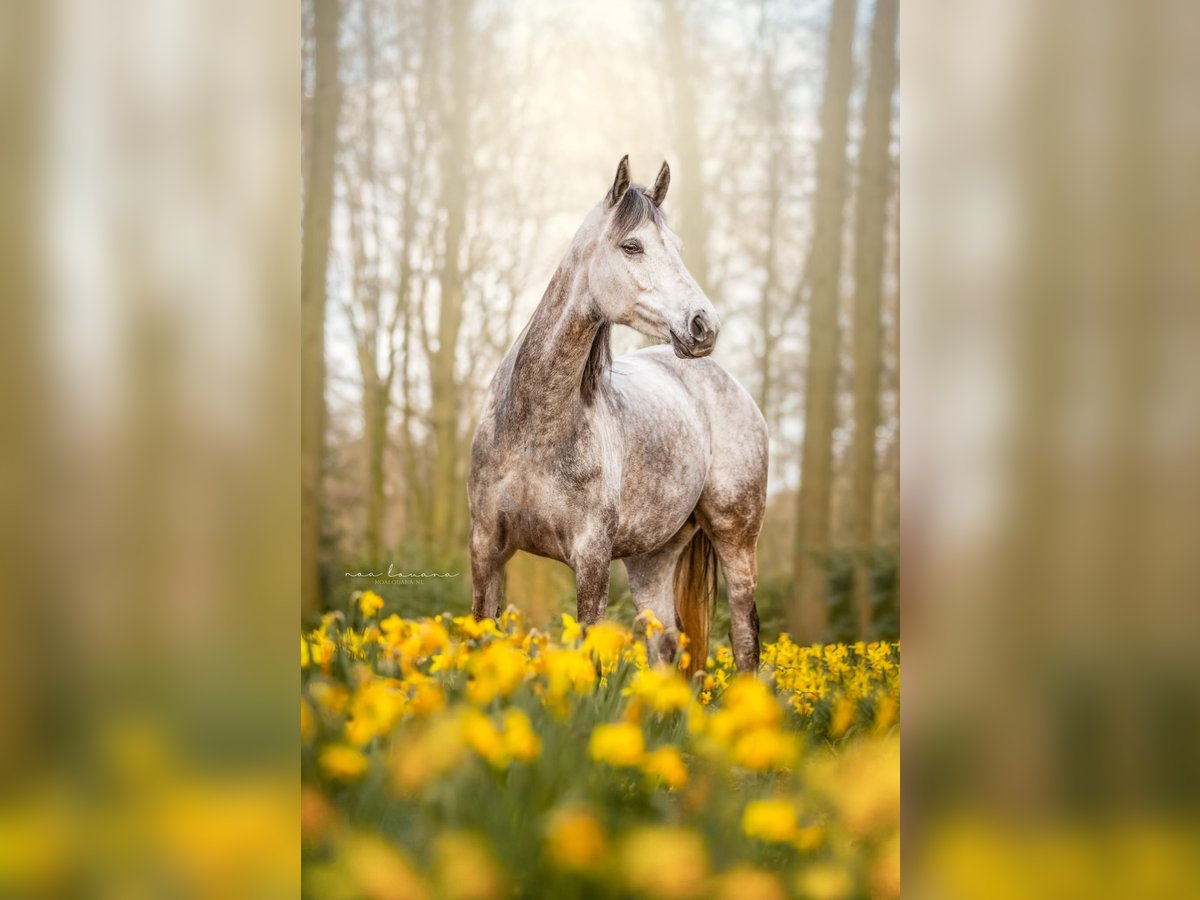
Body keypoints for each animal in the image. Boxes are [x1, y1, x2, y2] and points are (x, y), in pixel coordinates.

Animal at [468, 157, 768, 676]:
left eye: (678, 248)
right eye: (632, 245)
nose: (703, 325)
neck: (533, 428)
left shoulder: (590, 558)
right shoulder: (487, 549)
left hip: (737, 539)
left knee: (745, 637)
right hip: (652, 559)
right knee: (665, 644)